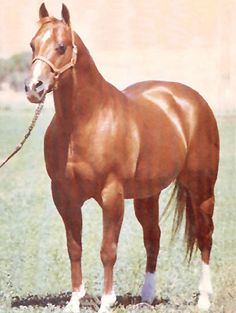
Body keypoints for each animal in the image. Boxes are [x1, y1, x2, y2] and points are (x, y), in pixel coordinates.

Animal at [25, 3, 219, 312]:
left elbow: (108, 250)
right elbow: (74, 247)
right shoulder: (64, 196)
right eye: (32, 44)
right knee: (153, 237)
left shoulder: (111, 195)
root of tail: (192, 100)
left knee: (205, 236)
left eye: (61, 46)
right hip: (147, 195)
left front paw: (107, 301)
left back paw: (203, 299)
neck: (84, 120)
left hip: (201, 187)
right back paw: (147, 296)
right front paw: (74, 300)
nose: (34, 87)